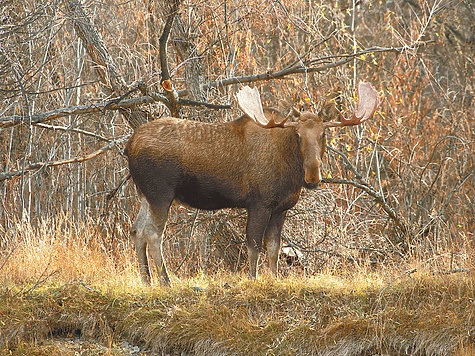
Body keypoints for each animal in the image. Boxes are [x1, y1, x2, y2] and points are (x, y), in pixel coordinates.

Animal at [125, 82, 380, 286]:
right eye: (297, 135)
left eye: (323, 134)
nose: (313, 175)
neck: (290, 173)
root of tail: (129, 145)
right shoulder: (259, 204)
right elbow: (254, 245)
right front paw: (253, 280)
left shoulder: (281, 208)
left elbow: (274, 247)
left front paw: (275, 279)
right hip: (160, 194)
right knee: (153, 233)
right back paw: (165, 281)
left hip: (144, 195)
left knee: (136, 229)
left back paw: (147, 281)